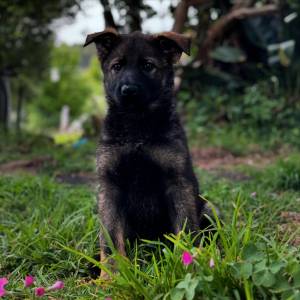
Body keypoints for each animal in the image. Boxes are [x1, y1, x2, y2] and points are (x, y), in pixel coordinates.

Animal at [84, 28, 209, 274]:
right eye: (117, 66)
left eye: (148, 66)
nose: (128, 91)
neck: (137, 126)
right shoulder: (110, 187)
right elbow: (110, 238)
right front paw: (111, 275)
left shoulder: (178, 183)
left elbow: (186, 228)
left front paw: (188, 265)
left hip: (208, 208)